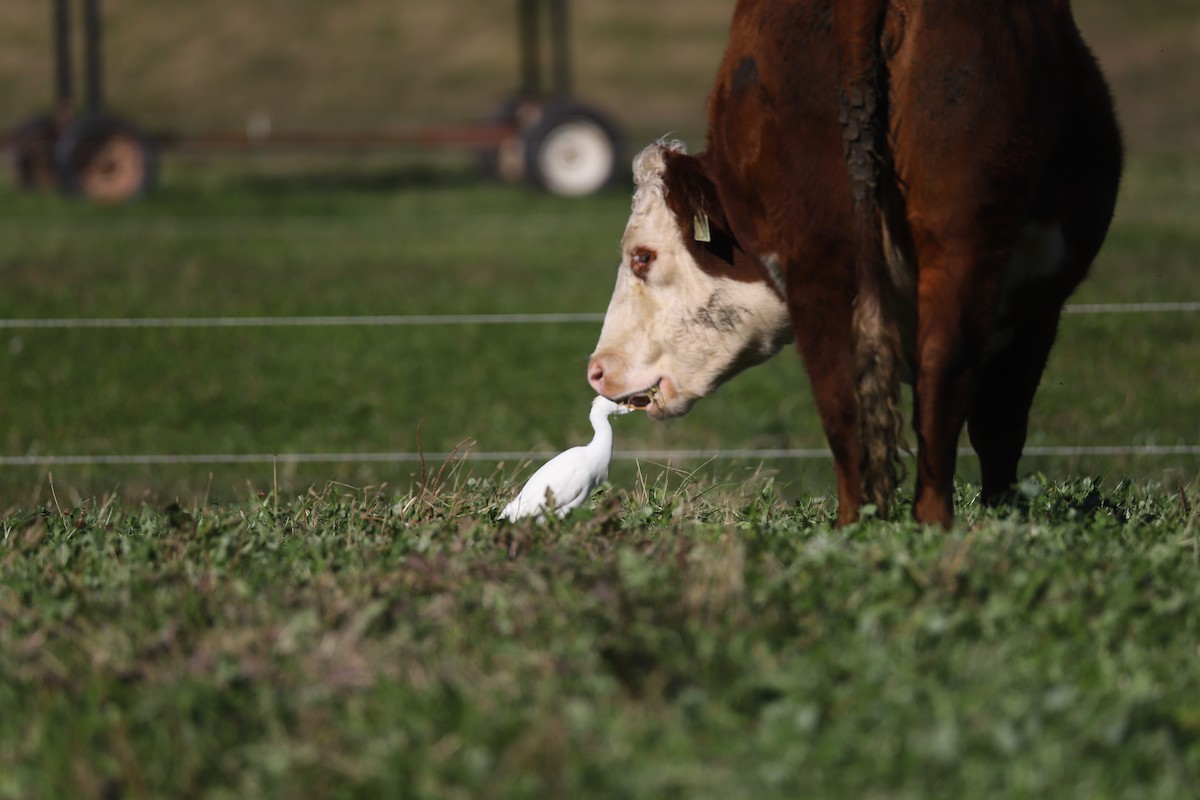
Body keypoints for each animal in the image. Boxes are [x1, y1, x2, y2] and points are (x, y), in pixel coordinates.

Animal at [587, 0, 1122, 527]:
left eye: (642, 256)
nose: (596, 370)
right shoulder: (1037, 301)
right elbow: (999, 420)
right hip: (952, 241)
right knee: (925, 376)